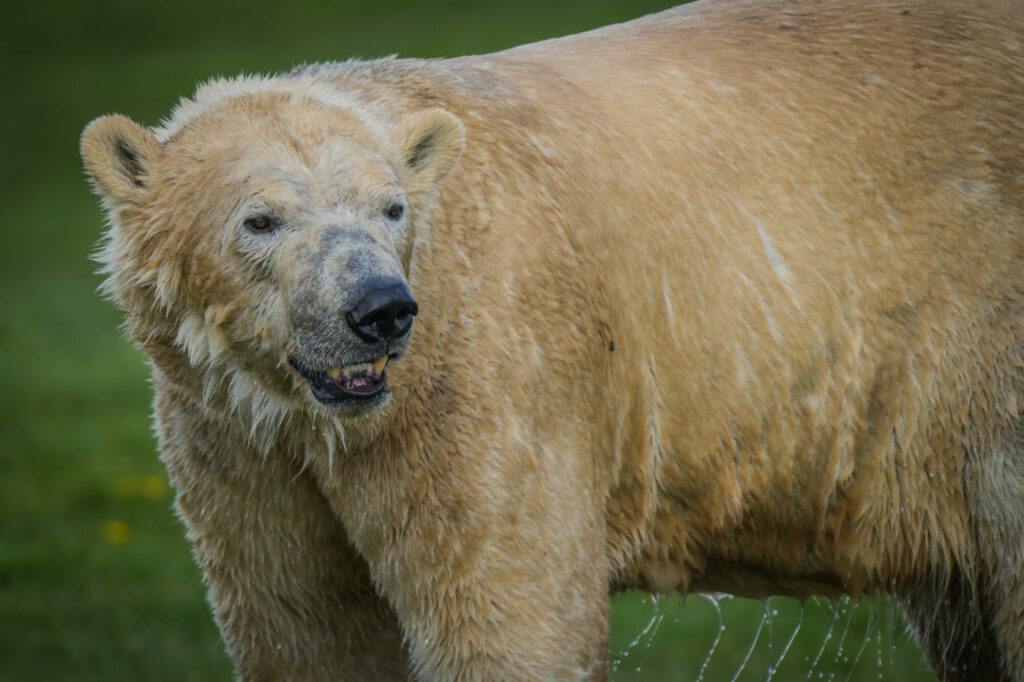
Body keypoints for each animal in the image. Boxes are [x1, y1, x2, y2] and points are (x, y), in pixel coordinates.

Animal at [80, 0, 1024, 679]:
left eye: (392, 207)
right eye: (261, 219)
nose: (380, 308)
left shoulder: (488, 387)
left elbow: (507, 619)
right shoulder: (237, 441)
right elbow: (306, 629)